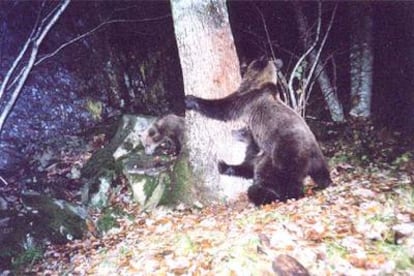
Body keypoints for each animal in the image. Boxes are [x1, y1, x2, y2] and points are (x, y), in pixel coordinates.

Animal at [186, 57, 332, 205]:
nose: (243, 63)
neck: (258, 84)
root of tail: (309, 151)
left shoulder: (247, 100)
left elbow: (223, 108)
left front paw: (190, 100)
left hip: (286, 151)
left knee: (288, 177)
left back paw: (286, 195)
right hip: (316, 155)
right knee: (321, 172)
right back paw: (324, 183)